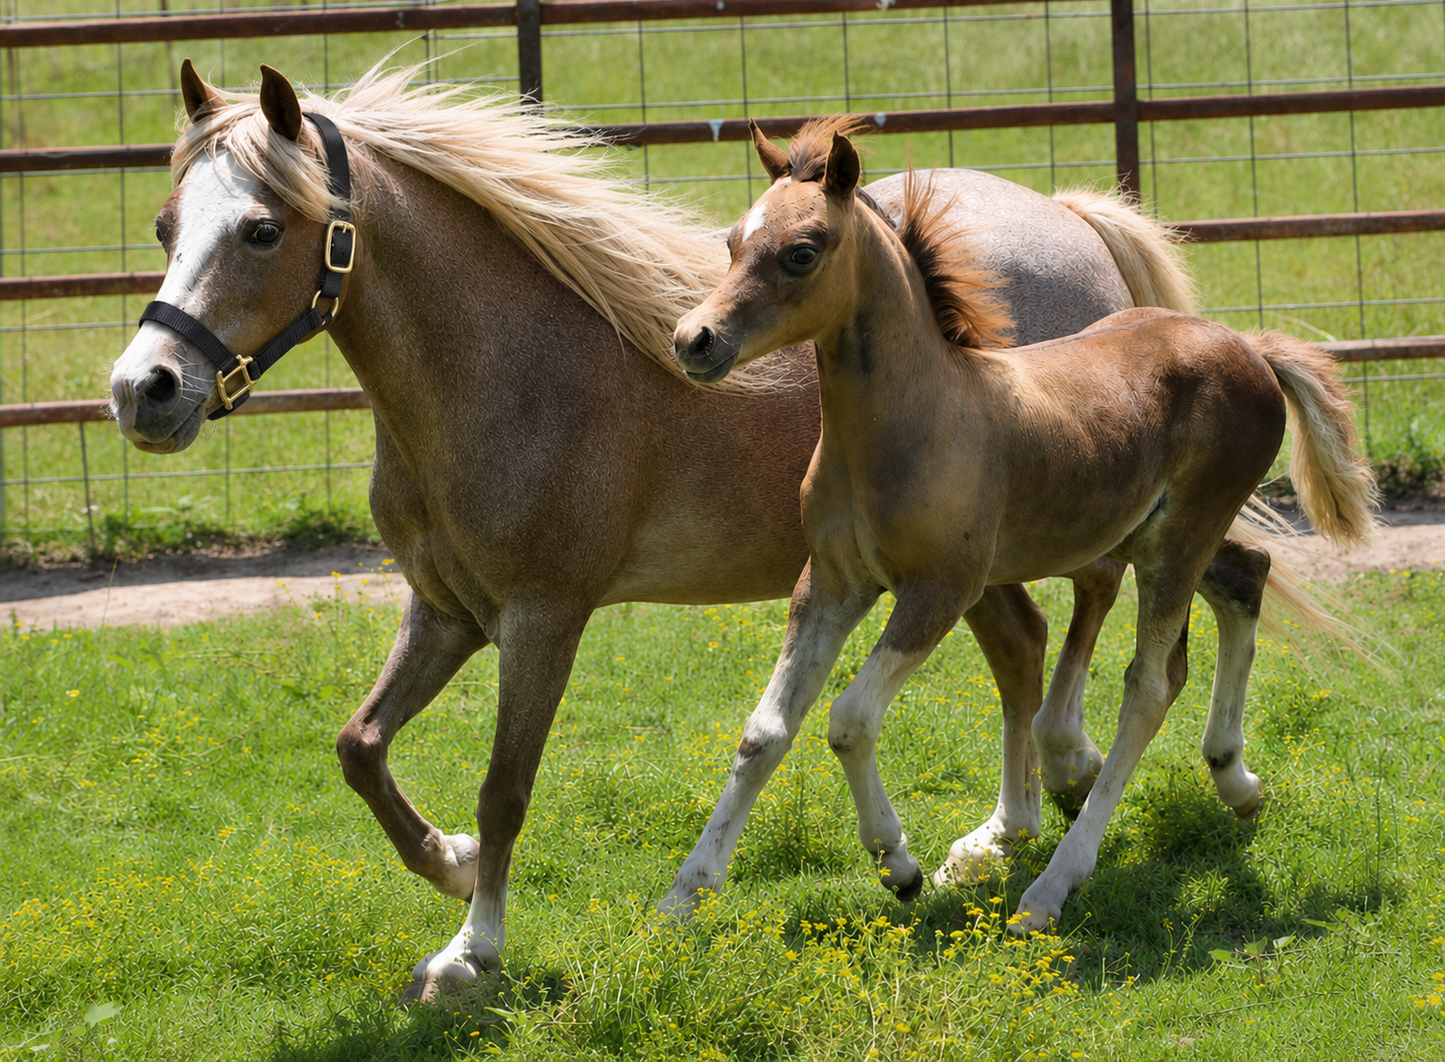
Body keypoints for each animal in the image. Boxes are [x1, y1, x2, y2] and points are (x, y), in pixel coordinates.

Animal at [108, 59, 1198, 1001]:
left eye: (259, 229)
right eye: (163, 224)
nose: (142, 391)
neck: (507, 369)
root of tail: (1073, 218)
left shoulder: (544, 618)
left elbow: (504, 787)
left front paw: (472, 950)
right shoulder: (445, 611)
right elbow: (359, 747)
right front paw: (450, 866)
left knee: (1081, 618)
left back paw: (1059, 779)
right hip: (962, 560)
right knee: (1019, 645)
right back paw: (995, 836)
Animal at [670, 119, 1376, 933]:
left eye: (801, 252)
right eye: (731, 241)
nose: (694, 339)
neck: (912, 422)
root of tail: (1246, 348)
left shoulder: (939, 589)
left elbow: (848, 719)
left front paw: (898, 864)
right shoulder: (831, 582)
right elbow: (765, 730)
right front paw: (683, 893)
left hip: (1176, 543)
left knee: (1149, 684)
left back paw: (1050, 889)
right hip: (1142, 537)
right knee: (1242, 580)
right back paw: (1235, 781)